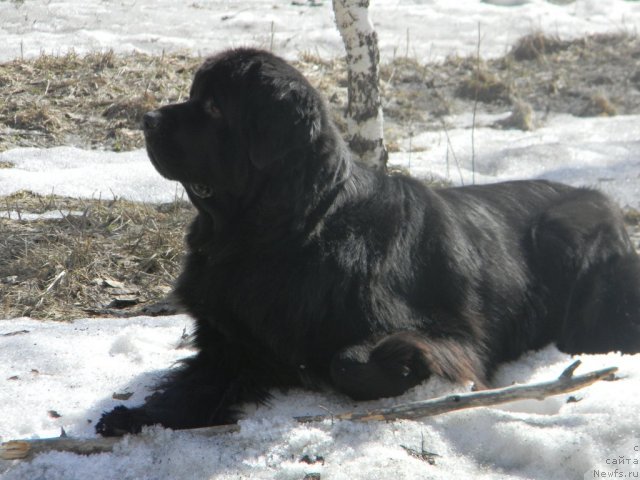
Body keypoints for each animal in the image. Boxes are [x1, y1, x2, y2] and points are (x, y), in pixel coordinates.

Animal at [95, 47, 640, 436]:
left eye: (212, 106)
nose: (147, 120)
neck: (286, 234)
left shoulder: (452, 332)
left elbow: (348, 360)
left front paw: (403, 365)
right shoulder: (231, 337)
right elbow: (196, 382)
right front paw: (139, 414)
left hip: (567, 234)